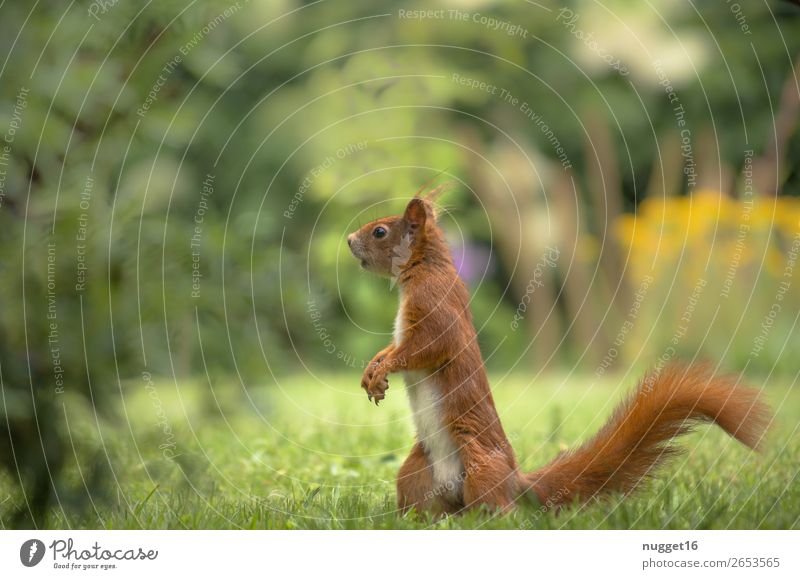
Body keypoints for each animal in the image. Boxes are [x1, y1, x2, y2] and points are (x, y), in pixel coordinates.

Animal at [346, 188, 772, 516]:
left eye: (380, 231)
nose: (349, 240)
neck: (422, 267)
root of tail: (517, 483)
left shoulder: (436, 307)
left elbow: (426, 347)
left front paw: (384, 369)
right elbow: (395, 346)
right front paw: (373, 370)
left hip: (480, 467)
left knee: (501, 509)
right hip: (417, 473)